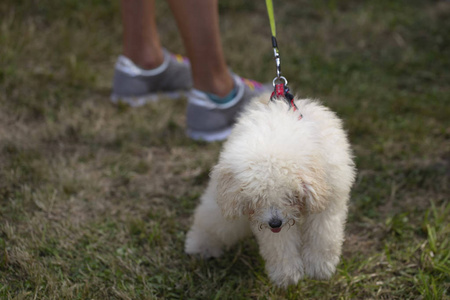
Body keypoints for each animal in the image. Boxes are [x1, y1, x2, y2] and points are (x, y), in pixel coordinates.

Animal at [185, 92, 356, 288]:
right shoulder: (264, 221)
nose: (275, 223)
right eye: (257, 198)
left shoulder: (329, 199)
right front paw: (287, 275)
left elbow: (323, 235)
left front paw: (320, 267)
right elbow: (279, 245)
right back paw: (200, 247)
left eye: (290, 195)